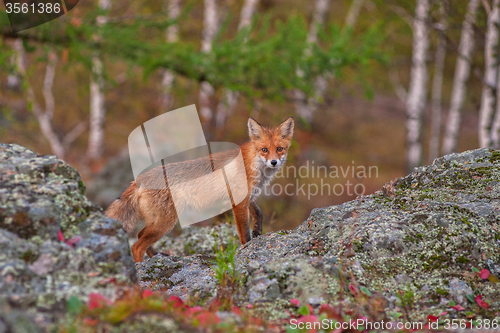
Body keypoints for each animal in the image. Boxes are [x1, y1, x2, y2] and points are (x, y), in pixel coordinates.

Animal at [105, 116, 292, 262]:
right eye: (264, 150)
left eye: (279, 149)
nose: (274, 162)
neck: (253, 164)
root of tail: (138, 179)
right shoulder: (238, 203)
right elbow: (244, 232)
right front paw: (248, 247)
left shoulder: (248, 197)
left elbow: (259, 213)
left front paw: (258, 231)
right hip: (165, 223)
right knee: (137, 246)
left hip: (156, 221)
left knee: (139, 236)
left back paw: (157, 256)